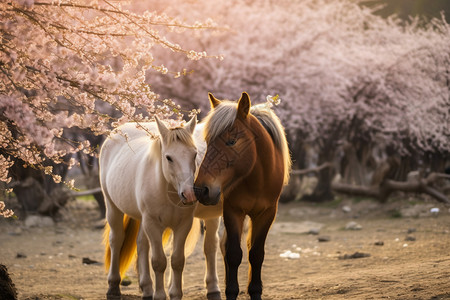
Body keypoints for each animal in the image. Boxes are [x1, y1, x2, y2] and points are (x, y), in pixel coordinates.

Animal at [102, 115, 200, 300]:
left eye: (195, 154)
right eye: (169, 157)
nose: (189, 194)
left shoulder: (183, 225)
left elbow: (177, 261)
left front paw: (175, 294)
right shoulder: (153, 224)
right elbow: (159, 262)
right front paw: (160, 295)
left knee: (142, 244)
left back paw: (147, 289)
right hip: (113, 207)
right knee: (116, 240)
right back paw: (113, 286)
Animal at [193, 92, 292, 298]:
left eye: (232, 141)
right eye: (208, 142)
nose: (201, 190)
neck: (258, 180)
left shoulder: (266, 214)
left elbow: (256, 253)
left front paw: (255, 291)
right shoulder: (233, 211)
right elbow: (233, 254)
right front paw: (231, 291)